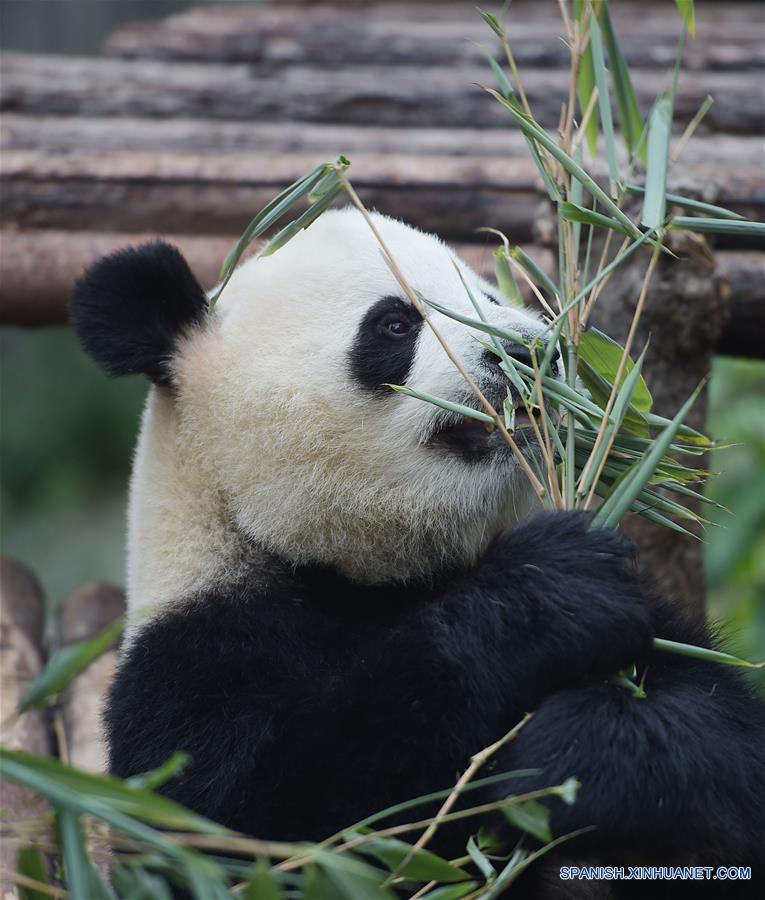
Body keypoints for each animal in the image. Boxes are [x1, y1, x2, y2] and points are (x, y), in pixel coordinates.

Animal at [68, 209, 760, 892]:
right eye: (395, 323)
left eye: (488, 296)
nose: (529, 350)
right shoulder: (189, 663)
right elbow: (269, 829)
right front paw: (554, 590)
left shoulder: (657, 624)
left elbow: (720, 729)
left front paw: (599, 740)